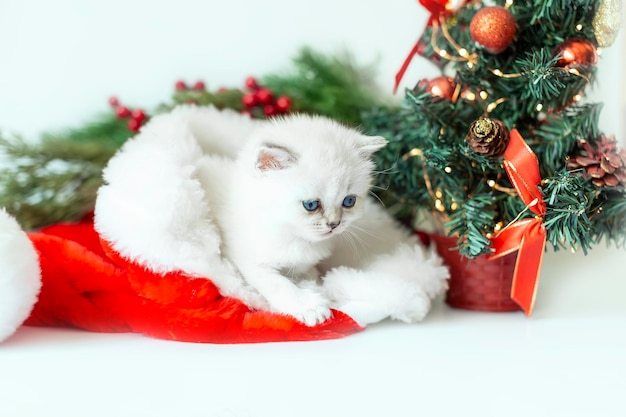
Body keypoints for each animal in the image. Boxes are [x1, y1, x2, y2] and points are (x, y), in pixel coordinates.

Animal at [196, 114, 386, 324]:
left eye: (349, 201)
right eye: (311, 205)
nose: (334, 224)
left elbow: (308, 275)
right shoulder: (247, 259)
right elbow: (279, 283)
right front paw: (309, 306)